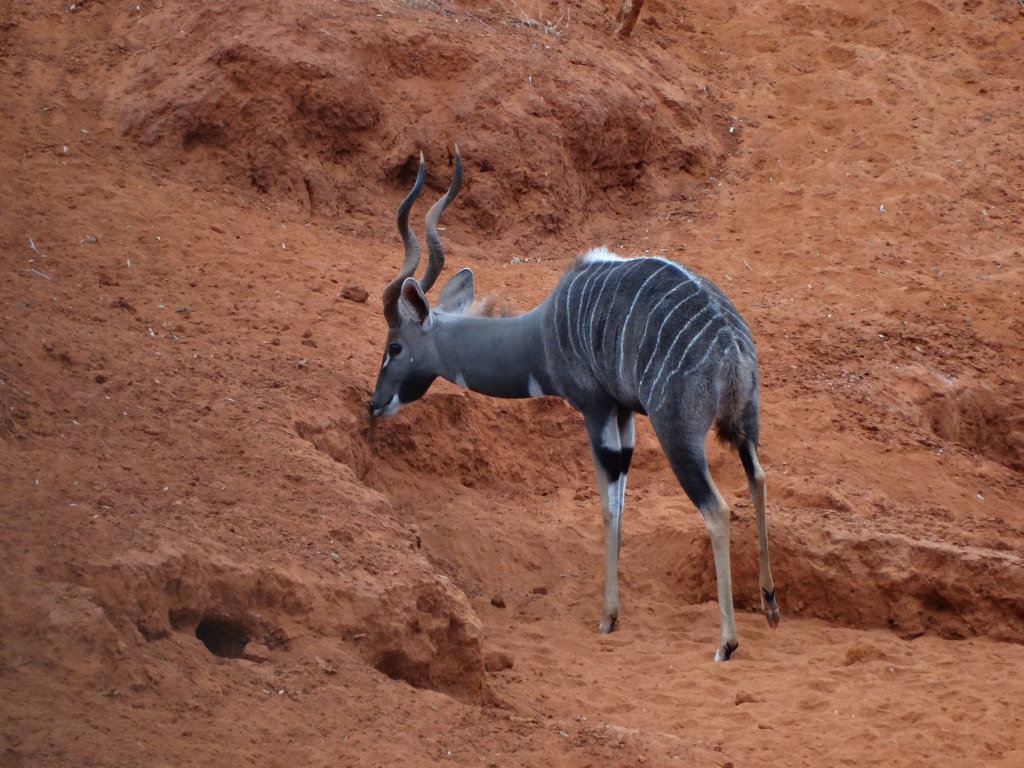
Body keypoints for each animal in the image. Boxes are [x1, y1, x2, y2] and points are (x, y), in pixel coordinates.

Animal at [372, 148, 778, 663]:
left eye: (395, 347)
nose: (374, 404)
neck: (542, 332)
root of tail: (730, 345)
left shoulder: (596, 409)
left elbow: (607, 508)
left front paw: (607, 618)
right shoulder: (623, 414)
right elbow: (619, 507)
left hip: (678, 435)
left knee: (718, 509)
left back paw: (726, 641)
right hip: (746, 425)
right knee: (758, 478)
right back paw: (769, 604)